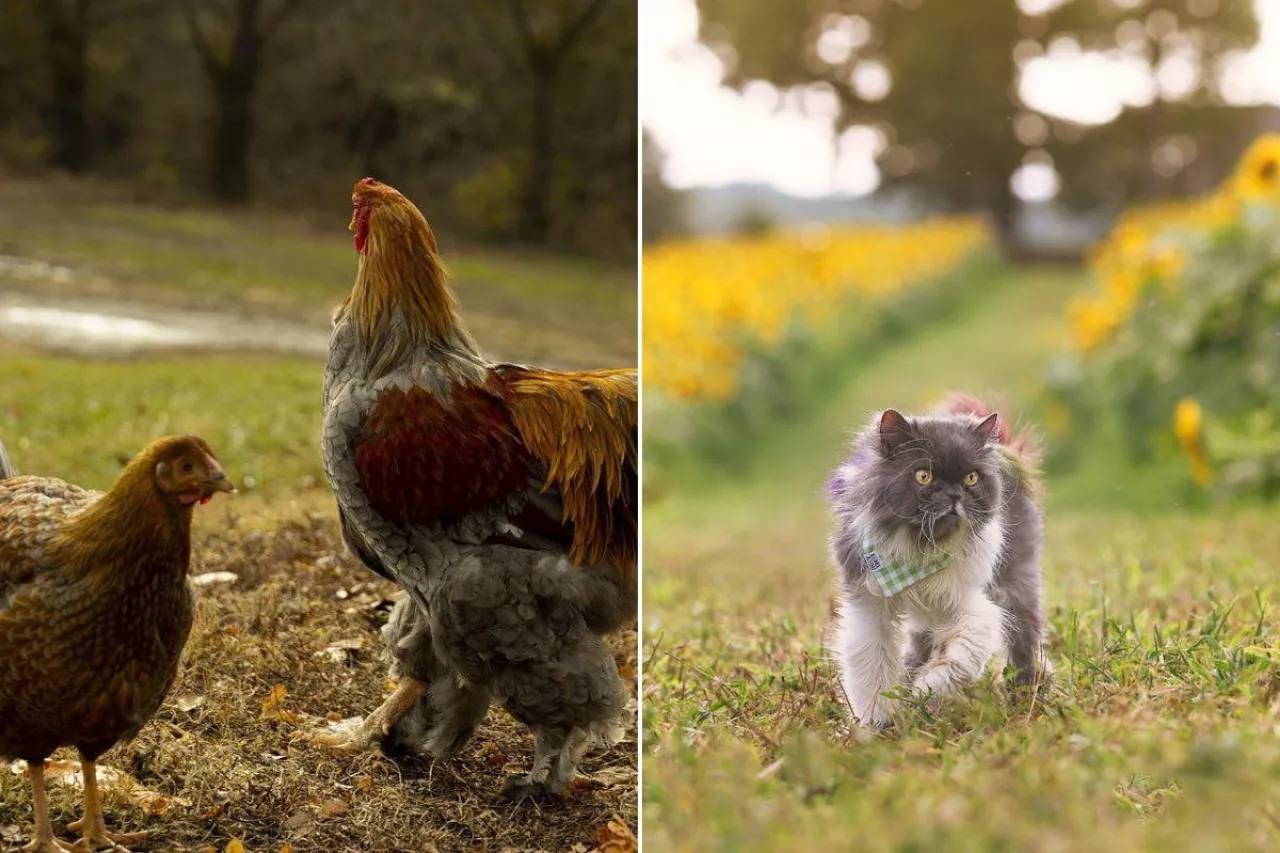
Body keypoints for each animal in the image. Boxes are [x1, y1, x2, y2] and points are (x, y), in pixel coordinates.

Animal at [829, 391, 1049, 722]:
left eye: (971, 478)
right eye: (924, 475)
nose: (955, 495)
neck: (922, 549)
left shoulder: (969, 602)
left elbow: (960, 654)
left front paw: (929, 688)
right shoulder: (869, 605)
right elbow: (870, 669)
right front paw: (877, 722)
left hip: (1016, 583)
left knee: (1025, 639)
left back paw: (1027, 690)